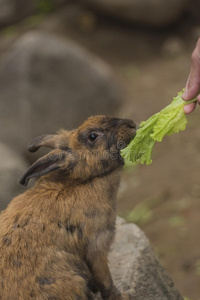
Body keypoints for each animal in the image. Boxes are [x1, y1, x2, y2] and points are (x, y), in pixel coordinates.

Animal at [0, 115, 137, 300]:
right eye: (92, 136)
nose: (131, 124)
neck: (81, 181)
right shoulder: (97, 246)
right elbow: (105, 281)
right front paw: (123, 296)